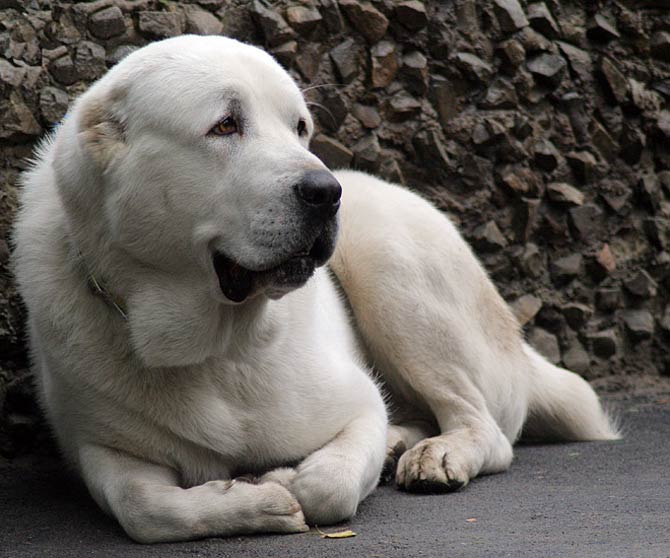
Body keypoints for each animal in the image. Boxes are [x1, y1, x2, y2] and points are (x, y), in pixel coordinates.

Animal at [11, 34, 620, 544]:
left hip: (389, 260)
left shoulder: (359, 402)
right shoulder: (99, 448)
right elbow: (145, 508)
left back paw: (437, 454)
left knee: (485, 426)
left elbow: (326, 485)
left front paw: (282, 483)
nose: (326, 191)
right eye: (225, 125)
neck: (213, 345)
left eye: (300, 128)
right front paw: (250, 501)